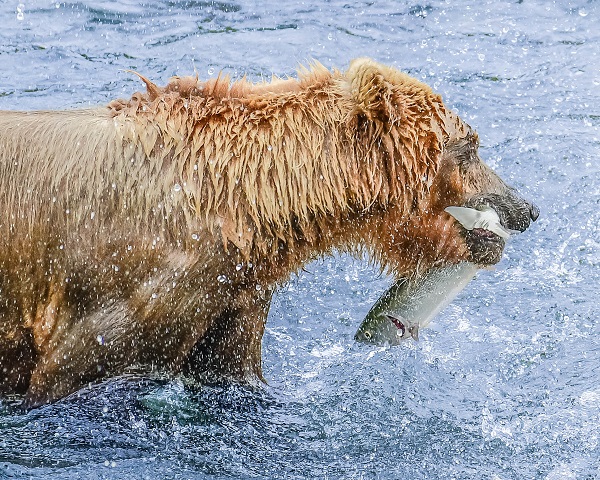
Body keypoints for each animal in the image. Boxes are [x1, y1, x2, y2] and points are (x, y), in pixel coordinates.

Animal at [0, 58, 540, 406]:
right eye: (469, 147)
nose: (527, 208)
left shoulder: (232, 296)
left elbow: (233, 372)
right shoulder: (124, 290)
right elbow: (71, 371)